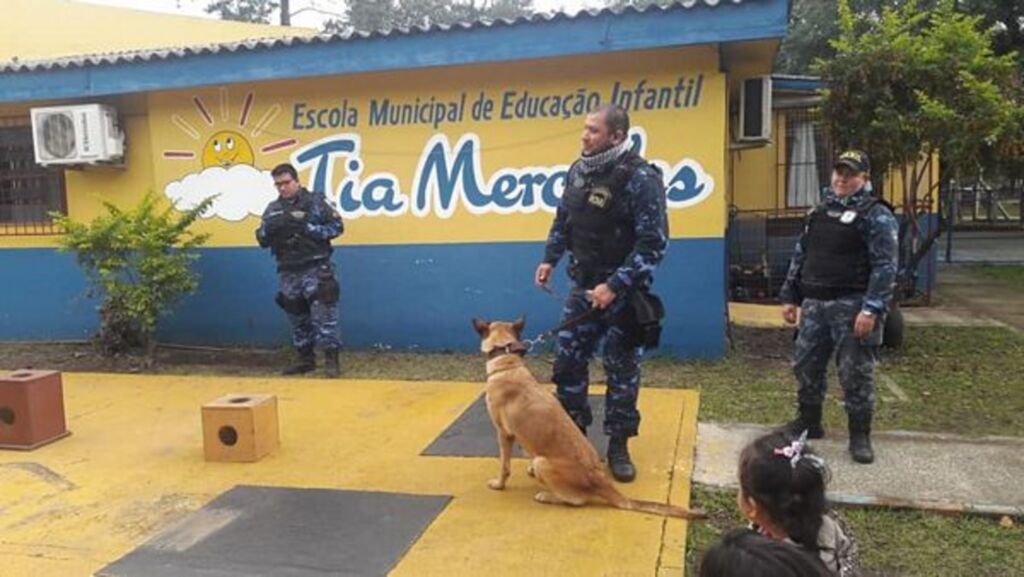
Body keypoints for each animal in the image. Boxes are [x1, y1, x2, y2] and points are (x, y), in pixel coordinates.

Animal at [471, 317, 704, 520]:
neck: (507, 362)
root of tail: (599, 480)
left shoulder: (504, 434)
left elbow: (505, 466)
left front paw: (499, 484)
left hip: (543, 463)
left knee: (577, 500)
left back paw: (547, 495)